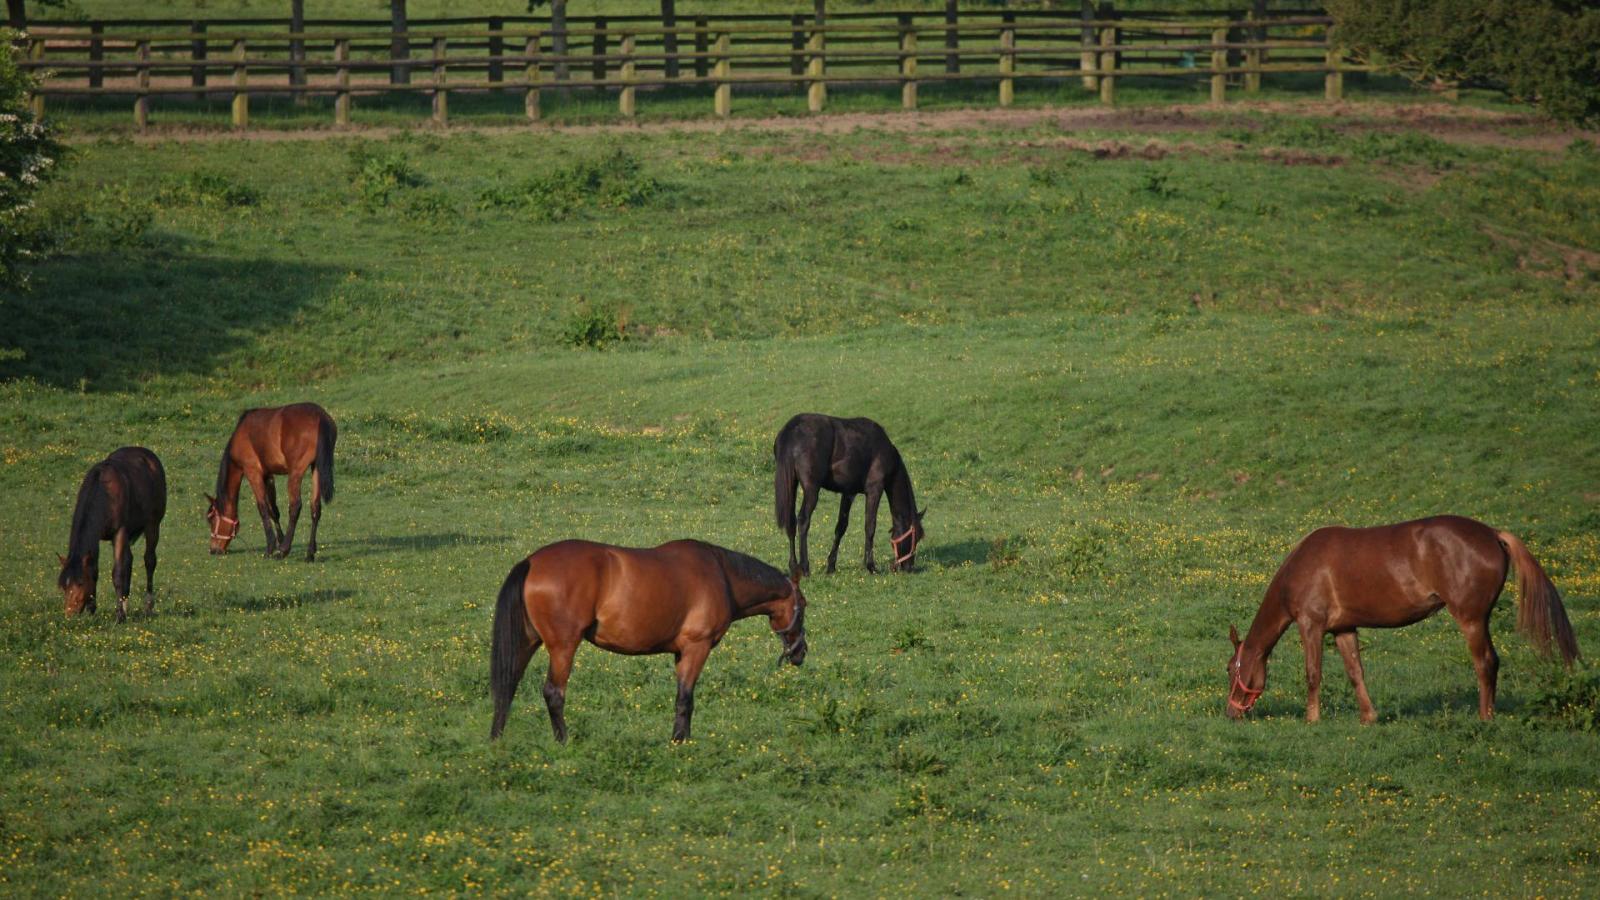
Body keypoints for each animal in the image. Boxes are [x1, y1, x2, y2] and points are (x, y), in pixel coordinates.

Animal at [56, 445, 165, 621]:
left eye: (80, 583)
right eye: (64, 585)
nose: (69, 614)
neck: (104, 492)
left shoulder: (119, 532)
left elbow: (118, 572)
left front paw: (119, 616)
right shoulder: (97, 536)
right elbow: (95, 570)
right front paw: (92, 610)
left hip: (153, 525)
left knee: (149, 561)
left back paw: (148, 606)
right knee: (129, 561)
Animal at [208, 400, 336, 557]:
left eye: (211, 519)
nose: (213, 550)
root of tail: (320, 416)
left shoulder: (253, 472)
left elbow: (263, 507)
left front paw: (271, 546)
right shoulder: (268, 476)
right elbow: (273, 510)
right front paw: (279, 540)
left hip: (295, 473)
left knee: (295, 506)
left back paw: (284, 550)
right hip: (316, 468)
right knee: (315, 507)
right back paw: (309, 553)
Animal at [483, 534, 812, 739]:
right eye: (805, 605)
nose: (800, 653)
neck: (722, 575)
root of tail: (531, 562)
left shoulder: (680, 653)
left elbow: (683, 698)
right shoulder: (697, 648)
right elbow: (685, 698)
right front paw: (680, 742)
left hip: (528, 642)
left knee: (507, 686)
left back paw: (497, 740)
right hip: (563, 646)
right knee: (553, 693)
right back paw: (563, 740)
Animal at [774, 413, 928, 573]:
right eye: (916, 537)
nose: (909, 568)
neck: (885, 452)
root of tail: (792, 429)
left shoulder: (848, 493)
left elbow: (841, 527)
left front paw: (831, 566)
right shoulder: (874, 490)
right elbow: (870, 526)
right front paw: (870, 566)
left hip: (792, 484)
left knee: (791, 522)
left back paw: (793, 566)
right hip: (811, 490)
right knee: (803, 520)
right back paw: (804, 566)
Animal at [1228, 512, 1580, 720]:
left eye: (1231, 669)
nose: (1232, 713)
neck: (1302, 567)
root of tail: (1493, 533)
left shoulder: (1311, 625)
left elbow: (1313, 673)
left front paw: (1311, 719)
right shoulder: (1344, 629)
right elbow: (1355, 672)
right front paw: (1368, 717)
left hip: (1471, 619)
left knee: (1486, 662)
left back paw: (1485, 717)